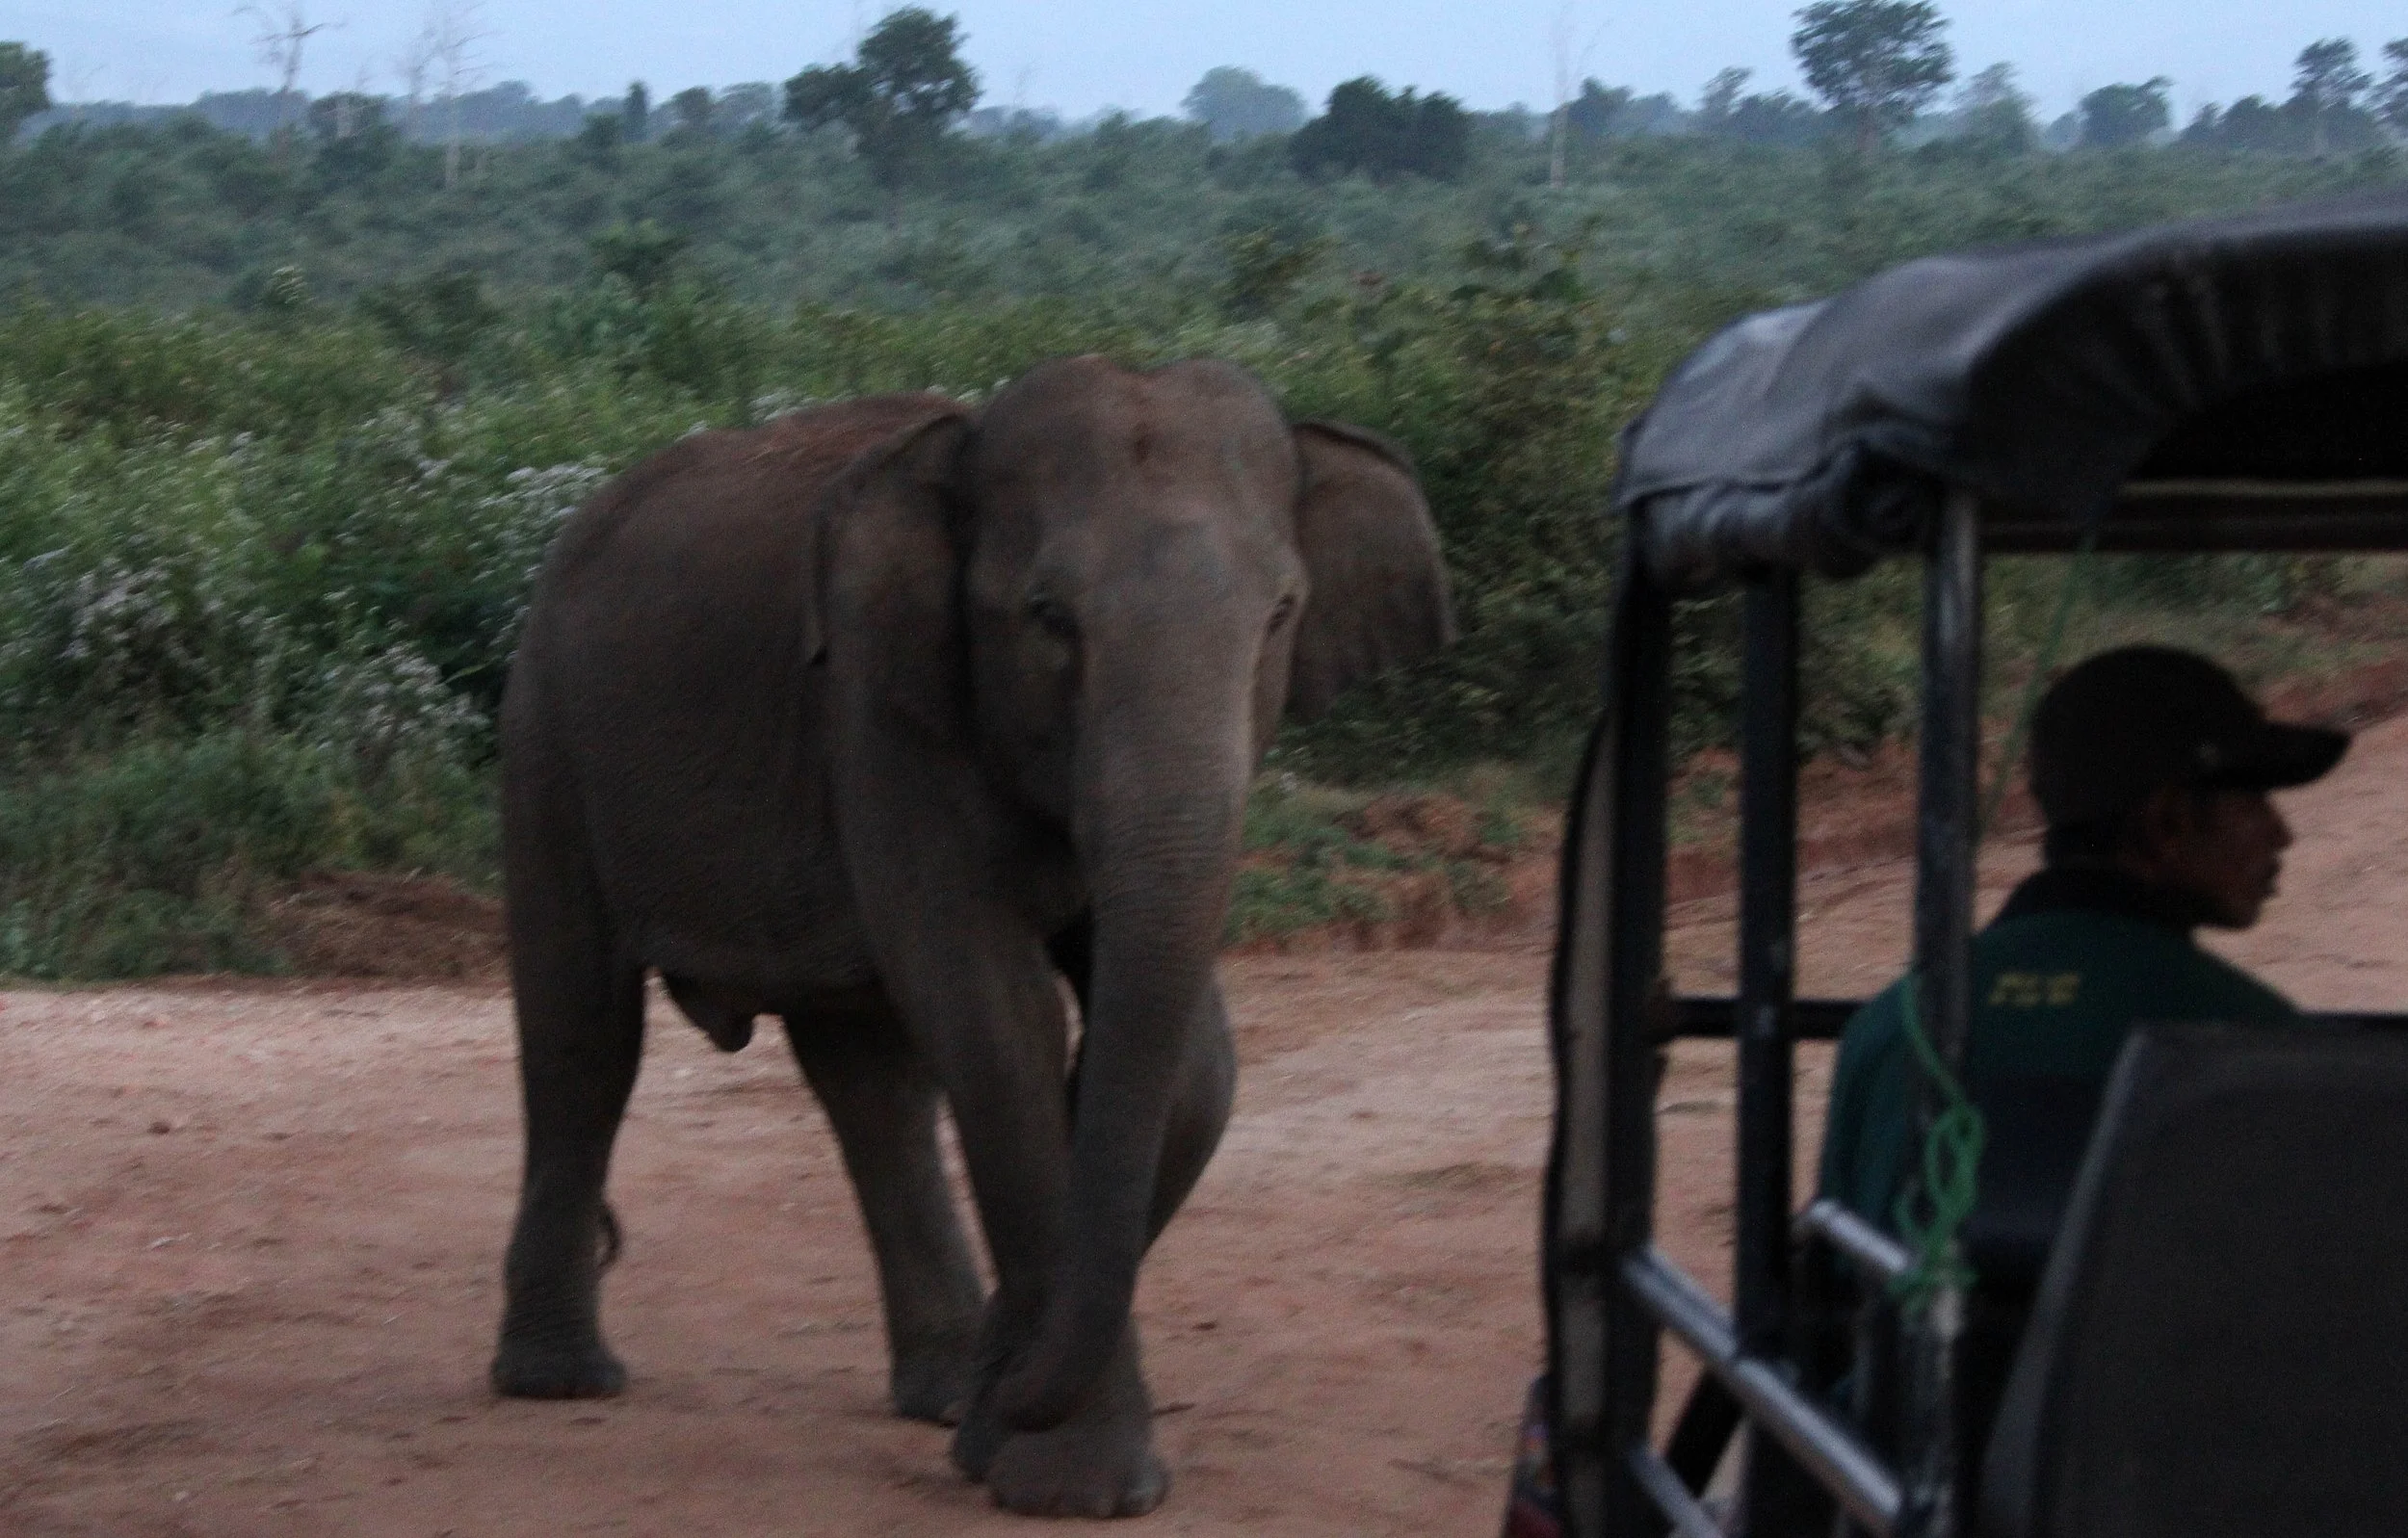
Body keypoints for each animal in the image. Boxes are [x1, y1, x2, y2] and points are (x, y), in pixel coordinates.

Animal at [489, 355, 1454, 1517]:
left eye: (1281, 612)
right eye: (1046, 615)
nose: (1012, 1401)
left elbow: (1187, 1064)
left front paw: (994, 1428)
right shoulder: (879, 709)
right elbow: (998, 1010)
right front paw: (1072, 1487)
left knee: (871, 1078)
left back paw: (941, 1396)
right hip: (545, 734)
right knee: (585, 1033)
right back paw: (560, 1382)